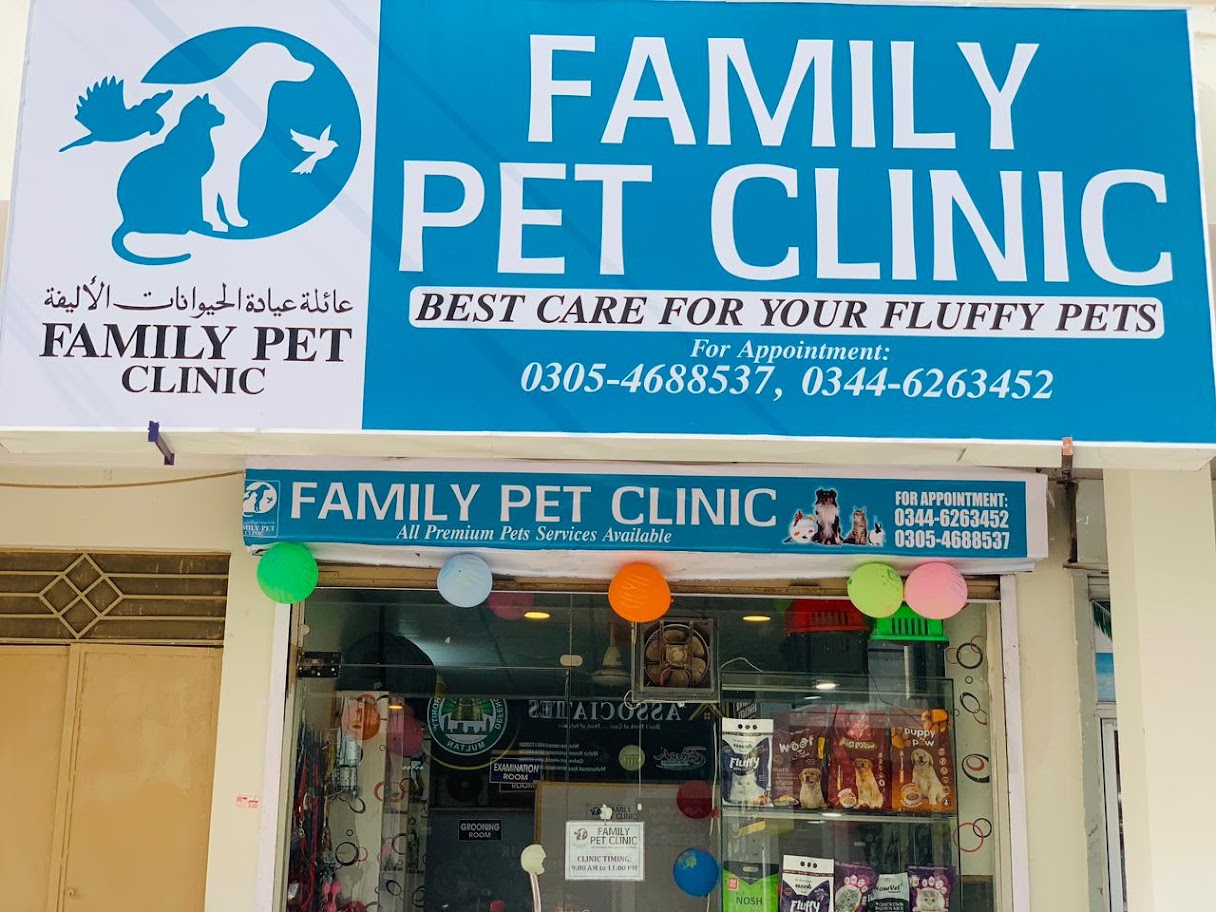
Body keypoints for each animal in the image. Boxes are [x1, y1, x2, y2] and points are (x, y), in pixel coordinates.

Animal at [112, 94, 225, 266]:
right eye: (213, 109)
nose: (223, 116)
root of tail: (127, 220)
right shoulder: (192, 179)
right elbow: (196, 204)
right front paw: (201, 225)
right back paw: (180, 227)